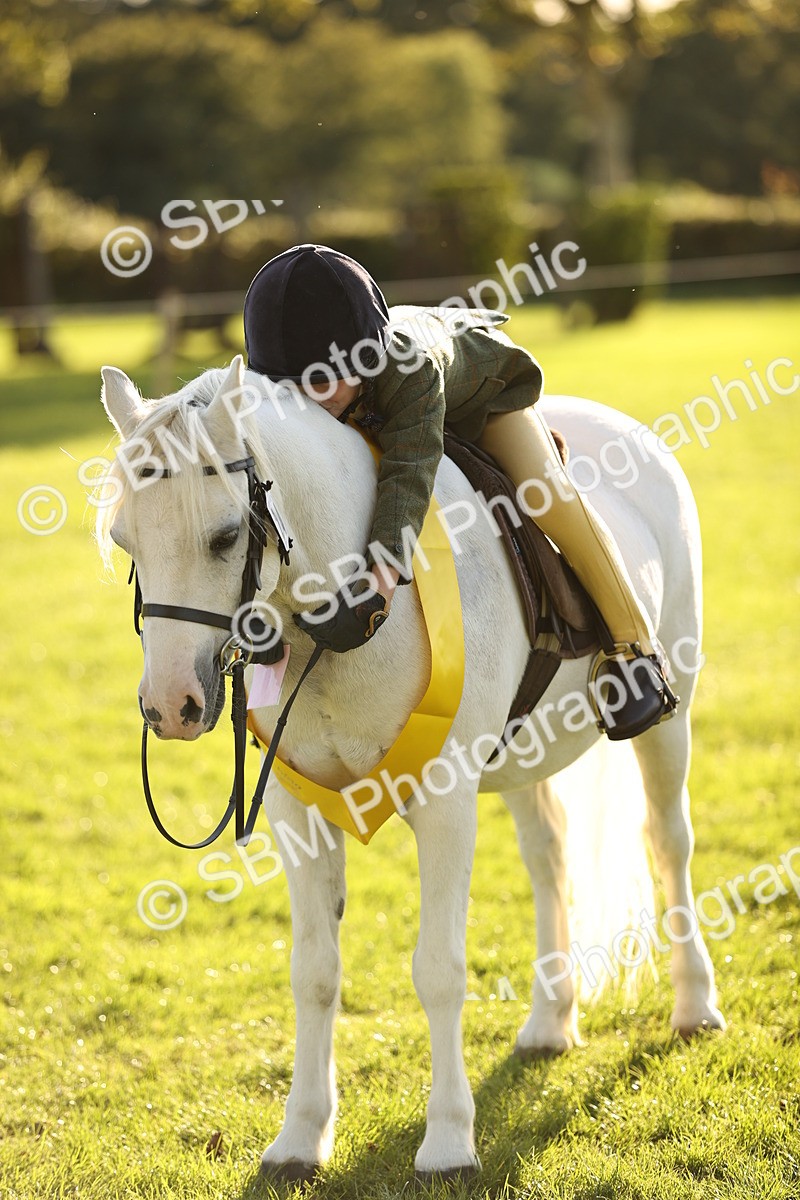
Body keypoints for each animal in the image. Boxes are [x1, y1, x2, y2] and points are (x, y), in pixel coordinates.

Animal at [97, 352, 725, 1183]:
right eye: (124, 539)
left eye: (226, 537)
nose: (171, 704)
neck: (343, 615)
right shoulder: (298, 818)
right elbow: (313, 972)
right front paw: (300, 1137)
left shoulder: (445, 801)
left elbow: (439, 970)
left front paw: (450, 1141)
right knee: (549, 859)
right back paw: (550, 1020)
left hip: (669, 717)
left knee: (668, 843)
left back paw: (695, 1005)